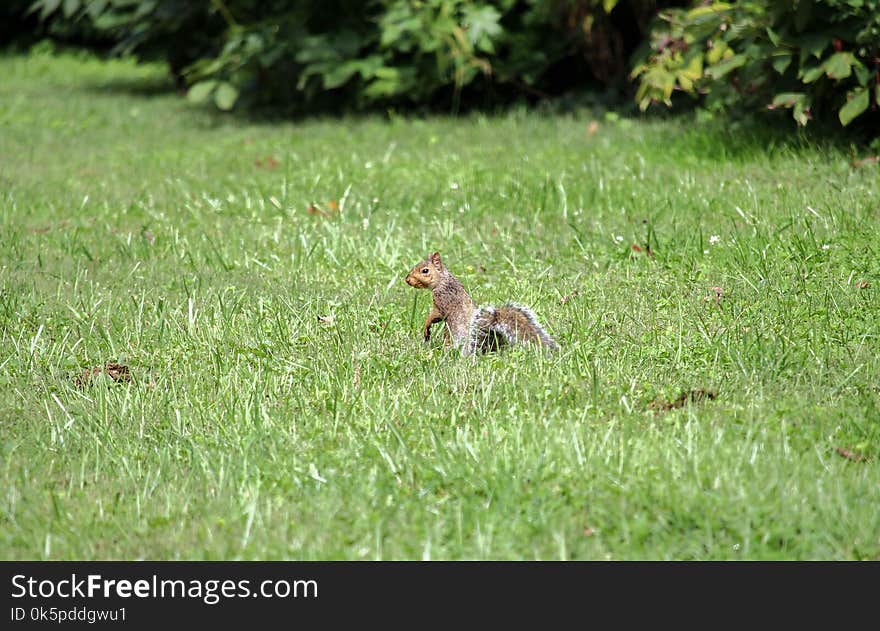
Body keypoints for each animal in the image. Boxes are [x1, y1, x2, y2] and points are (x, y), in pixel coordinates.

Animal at [404, 252, 556, 356]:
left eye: (425, 270)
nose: (407, 279)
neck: (443, 280)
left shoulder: (443, 300)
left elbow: (436, 315)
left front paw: (426, 326)